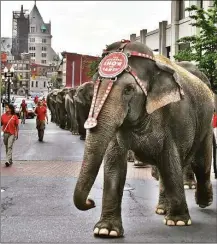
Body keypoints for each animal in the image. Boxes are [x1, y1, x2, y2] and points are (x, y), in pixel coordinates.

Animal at [73, 41, 214, 237]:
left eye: (128, 89)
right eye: (94, 87)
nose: (90, 202)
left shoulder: (176, 117)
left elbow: (171, 162)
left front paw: (178, 222)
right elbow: (114, 163)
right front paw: (105, 231)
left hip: (206, 123)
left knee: (200, 163)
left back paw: (203, 202)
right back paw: (162, 209)